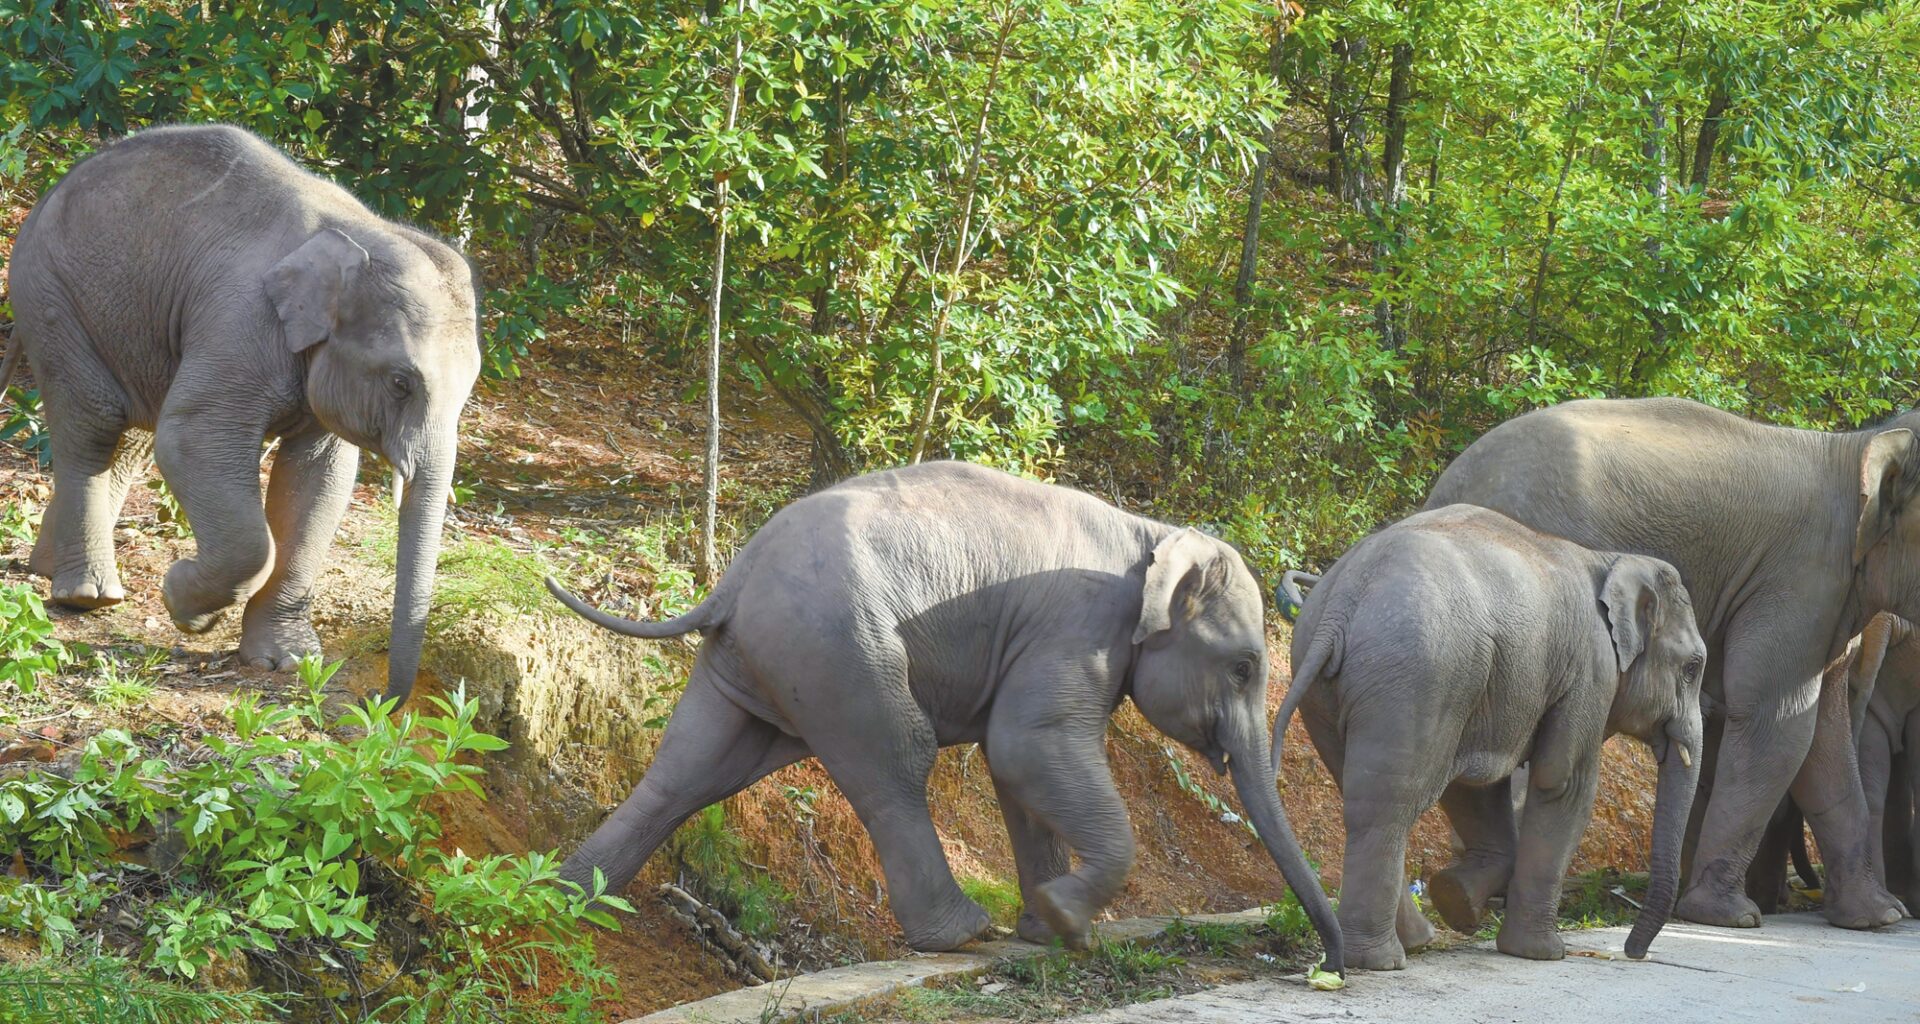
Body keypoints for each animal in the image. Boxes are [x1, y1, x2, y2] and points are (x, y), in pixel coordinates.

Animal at [0, 124, 480, 702]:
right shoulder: (240, 322)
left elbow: (319, 478)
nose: (382, 700)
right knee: (97, 422)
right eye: (401, 382)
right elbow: (192, 439)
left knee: (130, 441)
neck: (361, 235)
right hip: (51, 296)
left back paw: (50, 570)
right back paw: (88, 596)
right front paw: (185, 606)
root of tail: (47, 193)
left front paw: (286, 661)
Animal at [542, 460, 1344, 970]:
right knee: (896, 760)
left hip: (757, 661)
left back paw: (563, 896)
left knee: (691, 772)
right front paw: (1069, 925)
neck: (1151, 534)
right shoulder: (1078, 626)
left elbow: (1014, 767)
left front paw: (1050, 929)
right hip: (838, 650)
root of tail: (732, 577)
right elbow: (1025, 746)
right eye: (1244, 668)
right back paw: (963, 936)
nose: (1329, 965)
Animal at [1276, 505, 1705, 970]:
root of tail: (1341, 602)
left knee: (1366, 796)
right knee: (1391, 805)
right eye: (1693, 667)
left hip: (1339, 687)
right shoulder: (1591, 672)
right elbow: (1563, 782)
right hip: (1419, 674)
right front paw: (1542, 954)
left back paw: (1413, 941)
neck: (1610, 559)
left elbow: (1475, 788)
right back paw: (1381, 959)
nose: (1633, 952)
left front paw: (1456, 898)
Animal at [1425, 397, 1913, 932]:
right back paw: (1477, 897)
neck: (1856, 448)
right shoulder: (1797, 578)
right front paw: (1728, 916)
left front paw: (1880, 916)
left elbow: (1823, 734)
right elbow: (1776, 723)